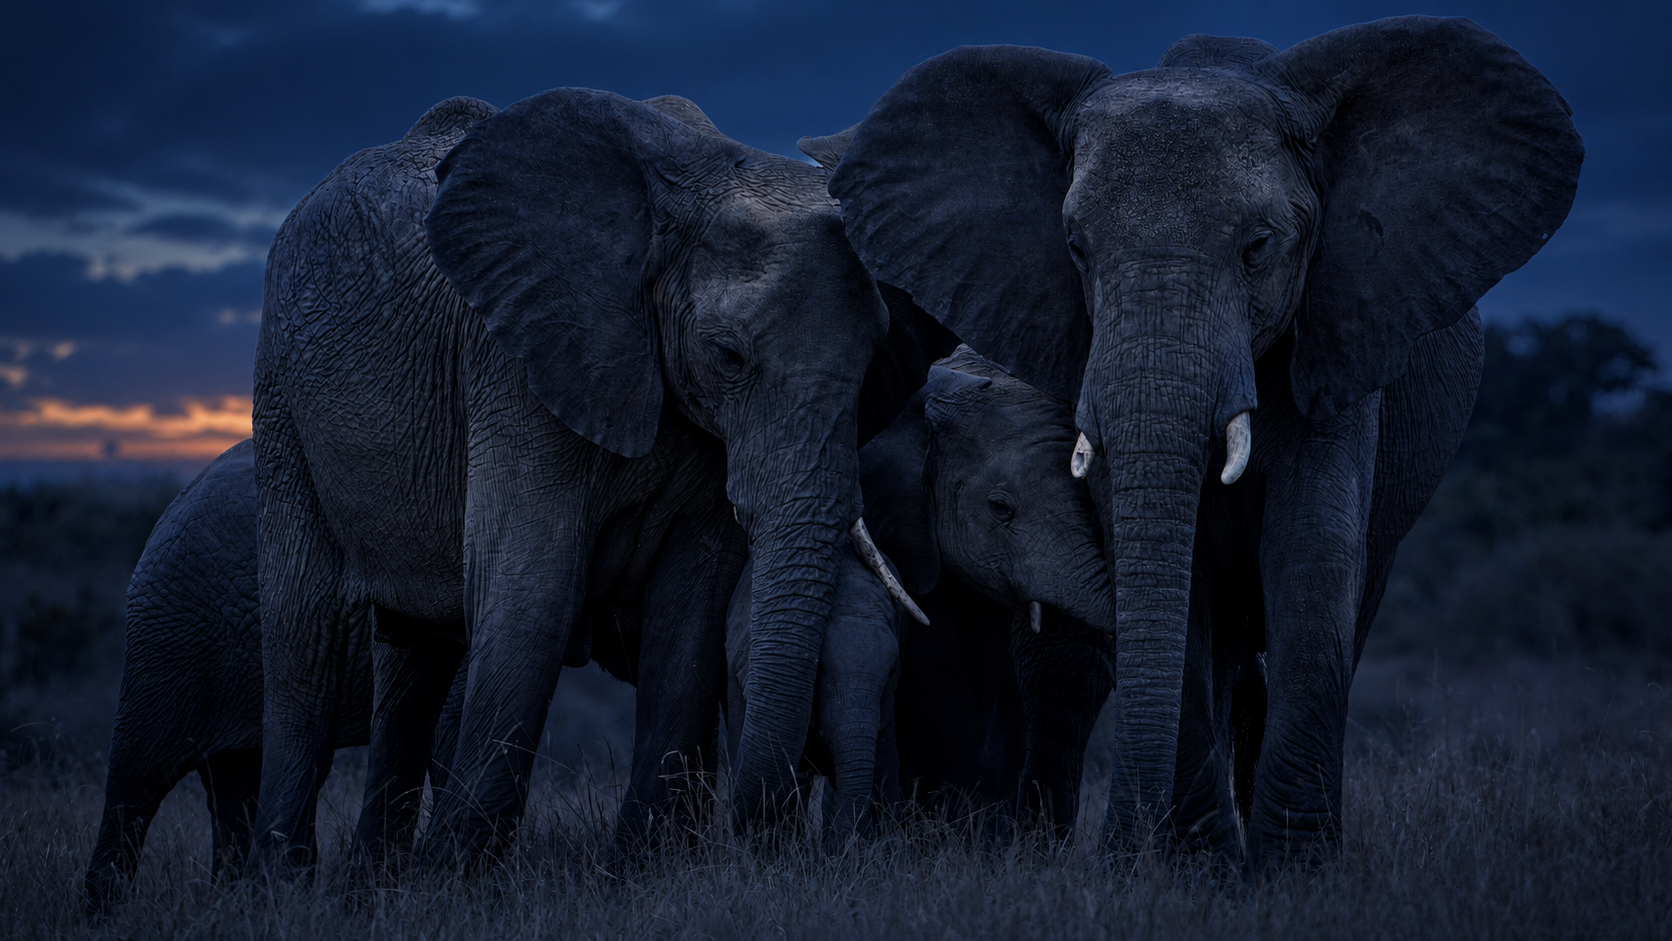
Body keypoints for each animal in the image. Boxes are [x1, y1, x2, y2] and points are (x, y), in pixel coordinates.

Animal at [252, 90, 952, 872]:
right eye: (728, 356)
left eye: (873, 357)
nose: (760, 832)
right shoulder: (516, 360)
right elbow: (535, 590)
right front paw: (456, 875)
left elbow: (692, 606)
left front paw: (635, 868)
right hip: (283, 398)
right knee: (303, 636)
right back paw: (284, 877)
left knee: (412, 654)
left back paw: (371, 880)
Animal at [818, 16, 1582, 865]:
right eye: (1075, 247)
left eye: (1258, 246)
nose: (1126, 843)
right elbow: (1161, 557)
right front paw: (1193, 867)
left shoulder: (1341, 324)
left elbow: (1312, 547)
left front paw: (1293, 870)